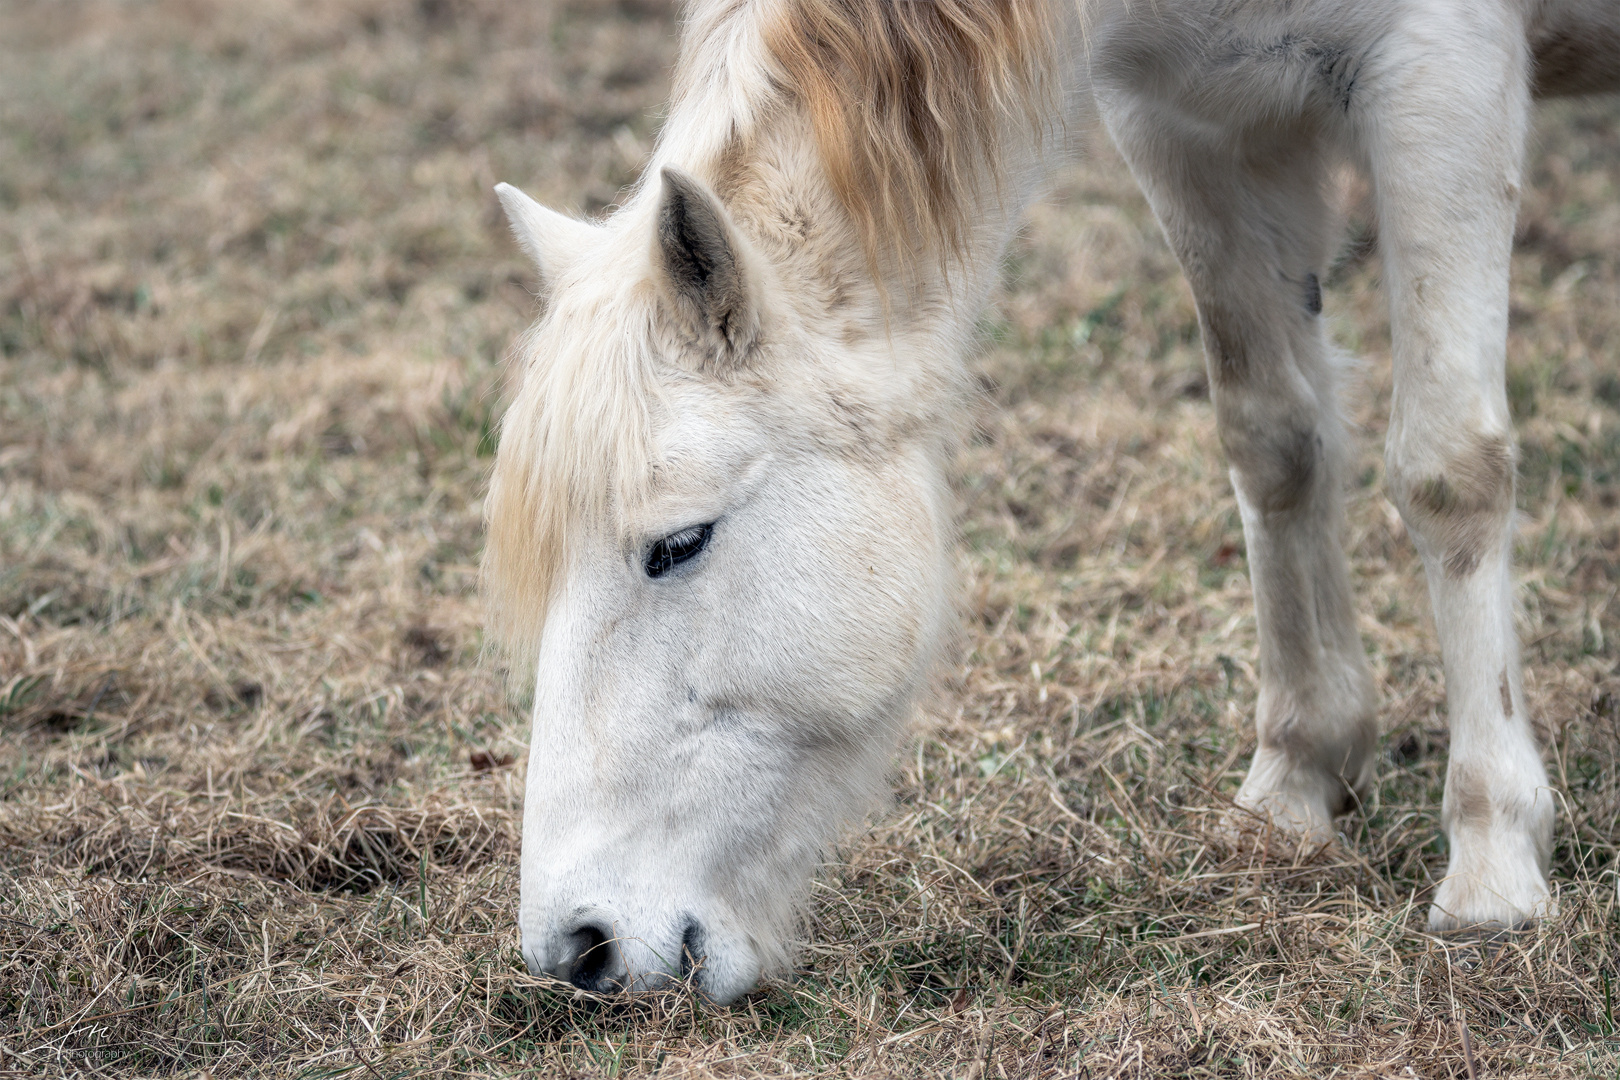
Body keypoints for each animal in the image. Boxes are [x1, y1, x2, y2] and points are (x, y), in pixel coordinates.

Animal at [479, 0, 1620, 1003]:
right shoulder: (1190, 122)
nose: (578, 947)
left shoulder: (1442, 75)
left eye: (679, 543)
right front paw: (1296, 784)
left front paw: (1493, 865)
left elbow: (1449, 472)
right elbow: (1275, 441)